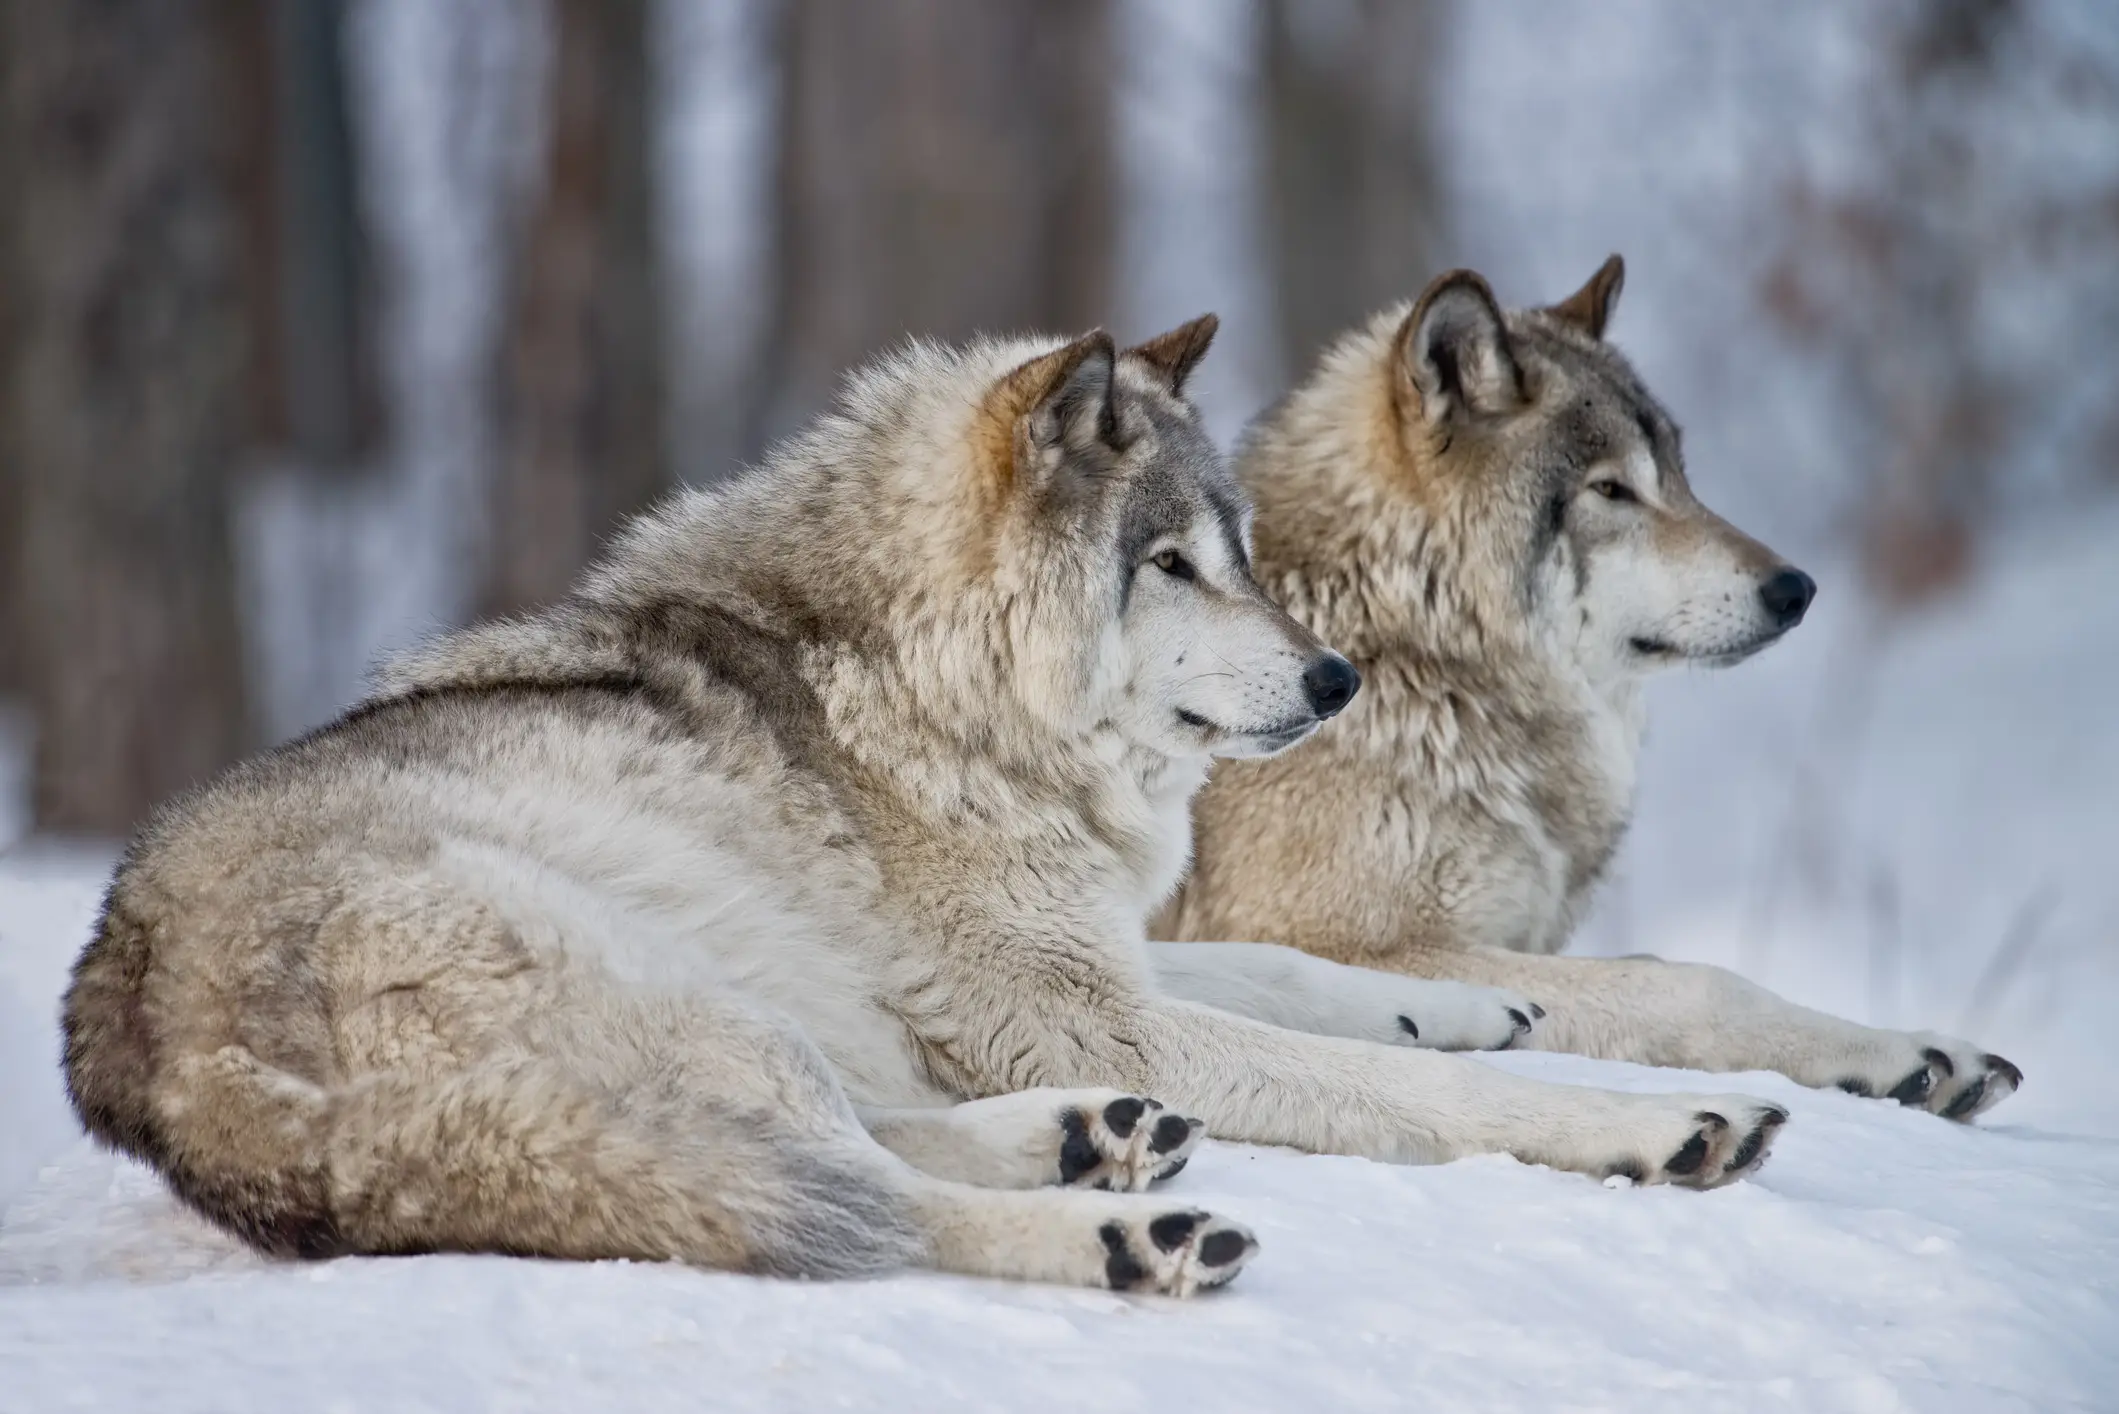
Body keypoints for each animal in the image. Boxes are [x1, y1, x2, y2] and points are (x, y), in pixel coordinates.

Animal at [64, 317, 1790, 1302]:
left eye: (1238, 550)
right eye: (1169, 564)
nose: (1334, 680)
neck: (932, 691)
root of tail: (145, 1044)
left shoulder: (1091, 965)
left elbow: (1291, 974)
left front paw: (1473, 1005)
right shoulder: (1078, 1002)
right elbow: (1404, 1092)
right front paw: (1638, 1120)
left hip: (738, 1024)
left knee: (846, 1145)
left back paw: (1094, 1142)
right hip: (677, 996)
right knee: (860, 1204)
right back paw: (1123, 1235)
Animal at [1149, 259, 2021, 1122]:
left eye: (1680, 478)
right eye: (1611, 491)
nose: (1795, 589)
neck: (1421, 660)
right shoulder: (1341, 940)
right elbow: (1694, 983)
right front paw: (1899, 1056)